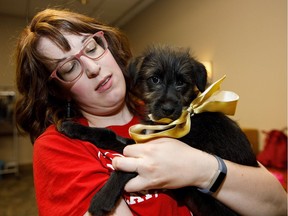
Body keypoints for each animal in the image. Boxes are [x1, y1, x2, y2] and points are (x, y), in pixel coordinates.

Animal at [59, 44, 258, 215]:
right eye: (154, 79)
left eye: (181, 82)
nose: (167, 109)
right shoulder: (142, 142)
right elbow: (108, 134)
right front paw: (72, 126)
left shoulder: (156, 155)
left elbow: (125, 169)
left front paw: (103, 198)